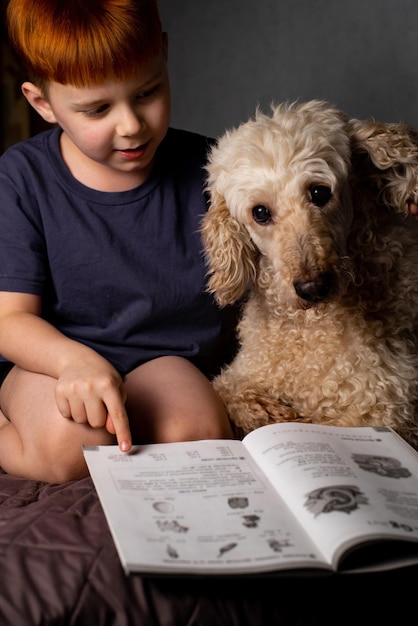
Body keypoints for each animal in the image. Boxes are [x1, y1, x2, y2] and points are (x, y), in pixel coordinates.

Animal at [202, 98, 418, 444]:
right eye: (260, 213)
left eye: (319, 192)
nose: (313, 287)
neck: (307, 326)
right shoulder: (244, 371)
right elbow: (227, 390)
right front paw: (269, 412)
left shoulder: (382, 404)